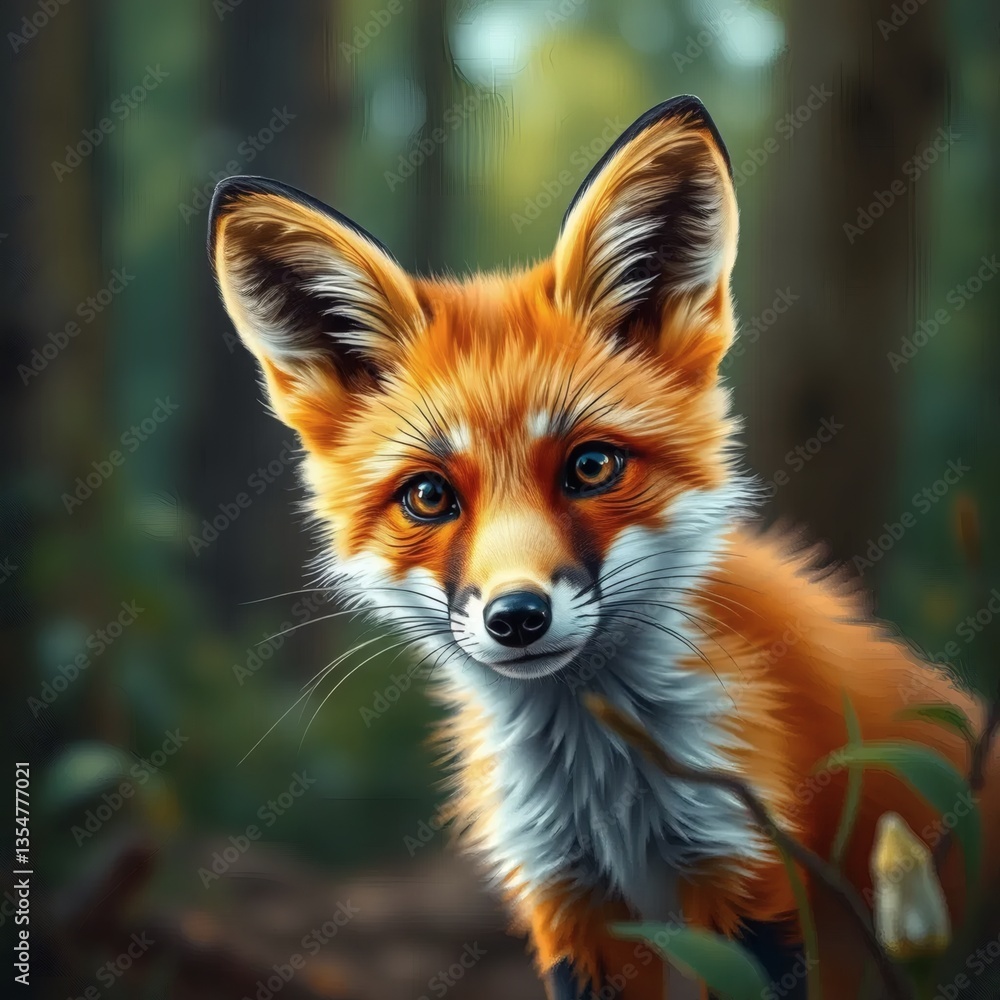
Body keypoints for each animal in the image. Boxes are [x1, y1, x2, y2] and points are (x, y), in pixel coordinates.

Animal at [207, 96, 999, 998]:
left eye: (591, 466)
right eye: (429, 496)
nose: (518, 617)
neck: (608, 793)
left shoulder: (754, 872)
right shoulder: (567, 903)